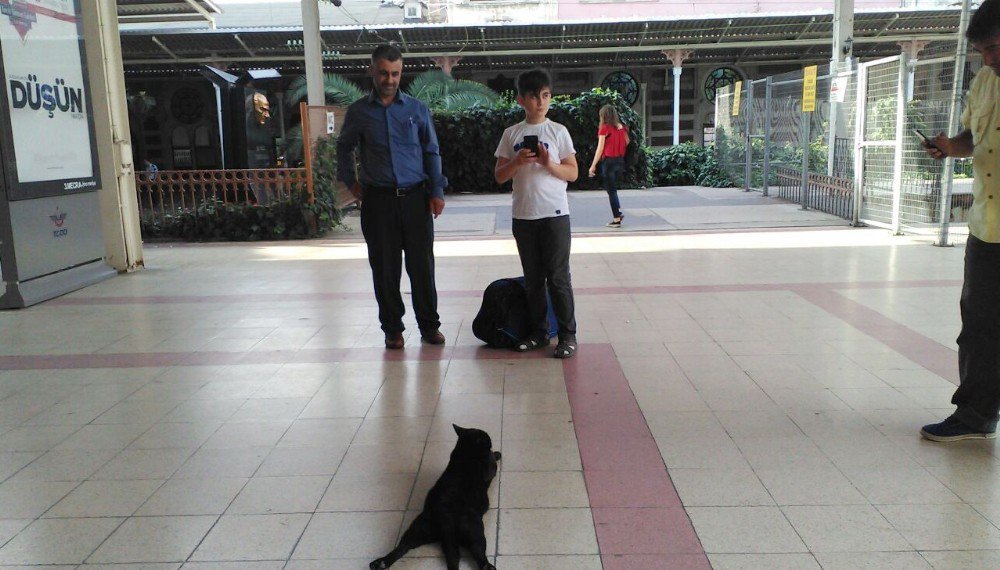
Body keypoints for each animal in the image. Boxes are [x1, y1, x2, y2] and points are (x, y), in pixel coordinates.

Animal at [370, 424, 500, 568]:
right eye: (486, 438)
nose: (491, 441)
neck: (464, 453)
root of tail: (447, 520)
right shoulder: (491, 467)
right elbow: (493, 459)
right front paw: (497, 453)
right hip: (475, 532)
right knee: (478, 552)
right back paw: (489, 566)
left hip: (418, 529)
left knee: (403, 546)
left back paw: (381, 562)